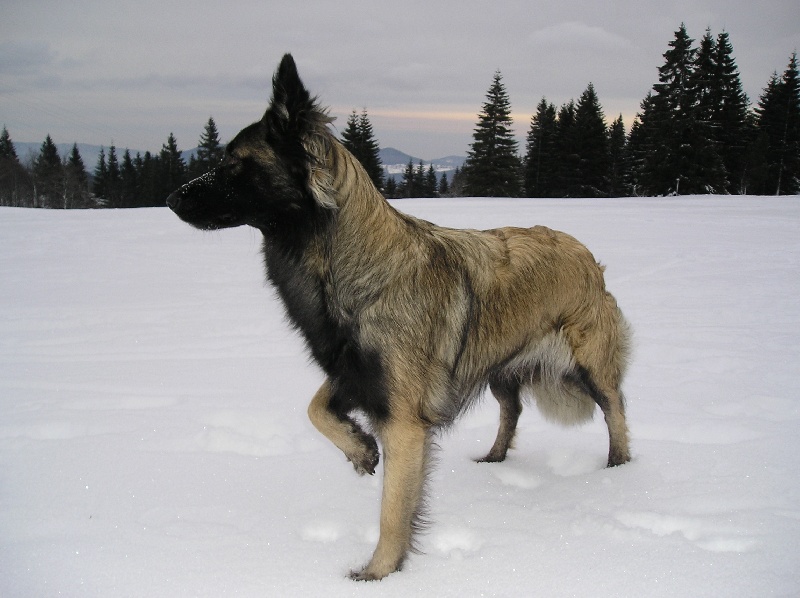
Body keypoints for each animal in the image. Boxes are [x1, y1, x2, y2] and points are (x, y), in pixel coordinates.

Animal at [167, 54, 632, 580]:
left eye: (233, 164)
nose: (173, 198)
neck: (355, 267)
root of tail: (586, 254)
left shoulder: (404, 421)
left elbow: (393, 509)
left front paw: (378, 574)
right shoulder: (354, 373)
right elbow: (314, 409)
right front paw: (359, 449)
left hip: (587, 364)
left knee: (614, 407)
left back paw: (618, 470)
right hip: (499, 365)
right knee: (511, 409)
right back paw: (494, 457)